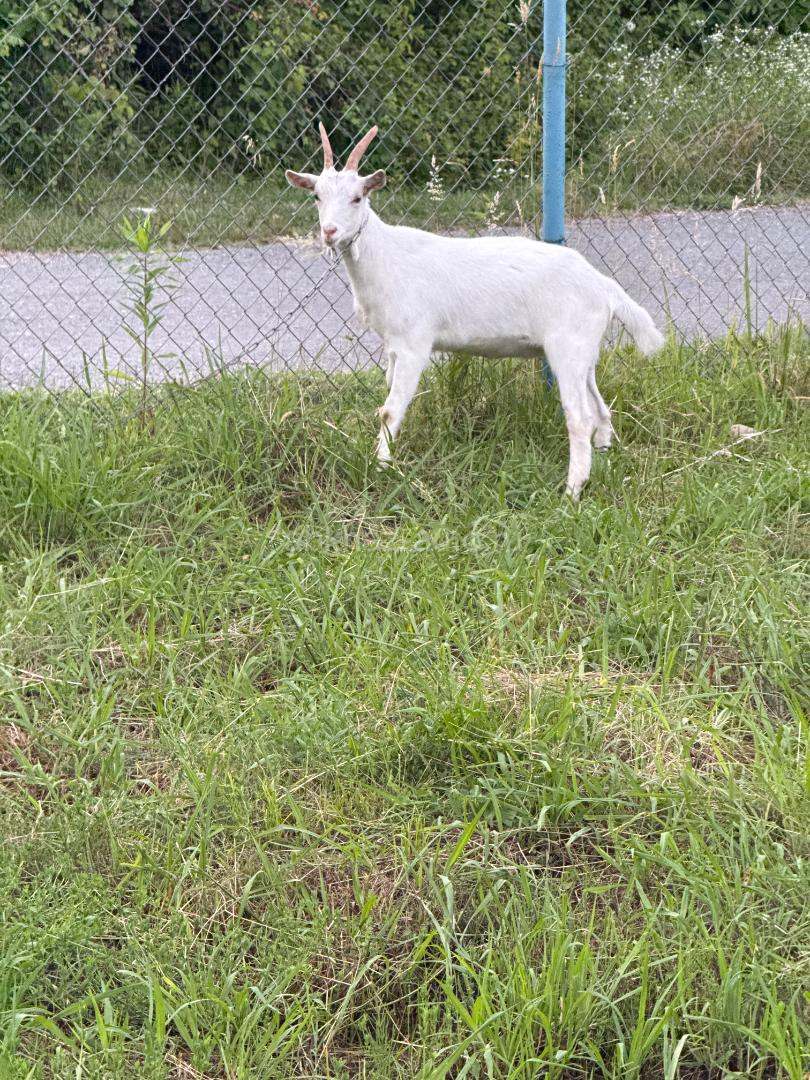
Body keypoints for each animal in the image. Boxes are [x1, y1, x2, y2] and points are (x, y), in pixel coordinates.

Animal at [286, 123, 664, 498]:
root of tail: (603, 285)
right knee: (600, 408)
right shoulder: (392, 346)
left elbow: (391, 411)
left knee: (580, 418)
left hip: (567, 346)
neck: (386, 256)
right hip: (585, 351)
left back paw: (572, 490)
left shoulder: (413, 343)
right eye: (317, 196)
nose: (329, 232)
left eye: (357, 197)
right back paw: (604, 459)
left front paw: (381, 469)